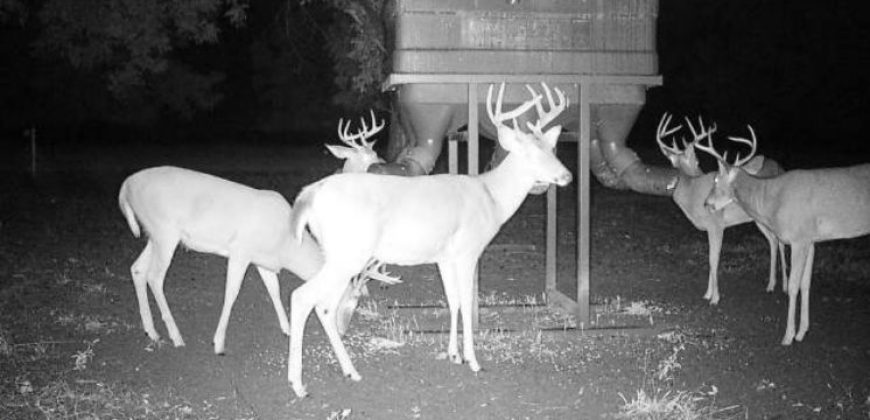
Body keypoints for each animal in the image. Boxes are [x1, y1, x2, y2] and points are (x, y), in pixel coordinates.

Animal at [286, 81, 572, 398]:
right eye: (531, 153)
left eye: (552, 148)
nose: (567, 175)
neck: (492, 198)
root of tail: (310, 193)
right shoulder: (468, 251)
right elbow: (467, 302)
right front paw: (473, 360)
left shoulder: (445, 257)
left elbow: (453, 301)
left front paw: (453, 354)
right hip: (349, 253)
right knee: (302, 297)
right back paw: (298, 384)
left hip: (339, 255)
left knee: (325, 305)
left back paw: (350, 371)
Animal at [700, 124, 870, 344]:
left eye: (715, 179)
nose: (706, 203)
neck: (772, 200)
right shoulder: (810, 240)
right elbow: (806, 284)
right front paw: (802, 331)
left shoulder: (799, 238)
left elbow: (793, 286)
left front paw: (788, 336)